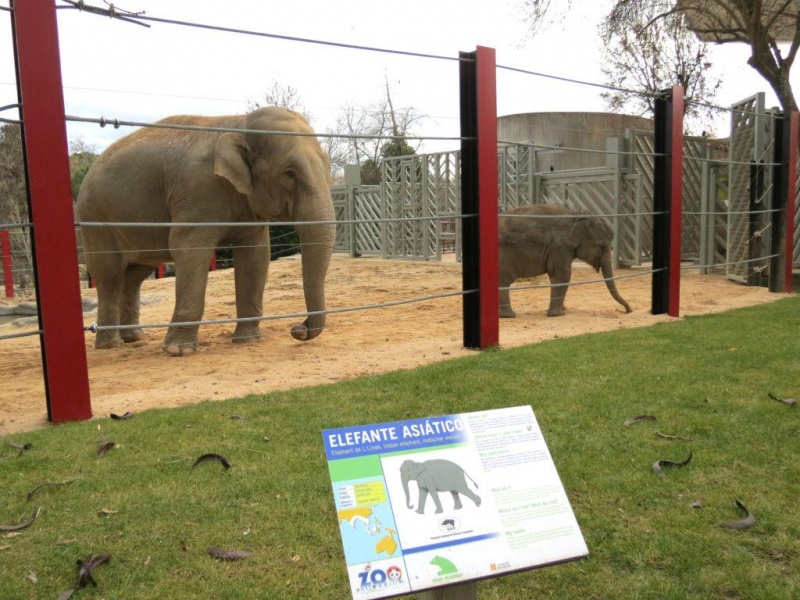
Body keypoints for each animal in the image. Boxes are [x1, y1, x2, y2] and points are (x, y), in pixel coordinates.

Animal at [78, 107, 334, 354]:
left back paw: (134, 338)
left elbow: (256, 255)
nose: (298, 329)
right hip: (96, 220)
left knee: (135, 276)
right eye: (289, 173)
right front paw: (178, 350)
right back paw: (111, 345)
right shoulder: (197, 190)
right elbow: (189, 249)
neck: (239, 123)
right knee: (110, 276)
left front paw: (249, 340)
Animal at [500, 204, 632, 318]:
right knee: (505, 281)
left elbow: (556, 277)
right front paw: (559, 314)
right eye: (601, 246)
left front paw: (562, 309)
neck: (575, 214)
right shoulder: (560, 246)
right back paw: (509, 316)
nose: (628, 310)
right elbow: (562, 274)